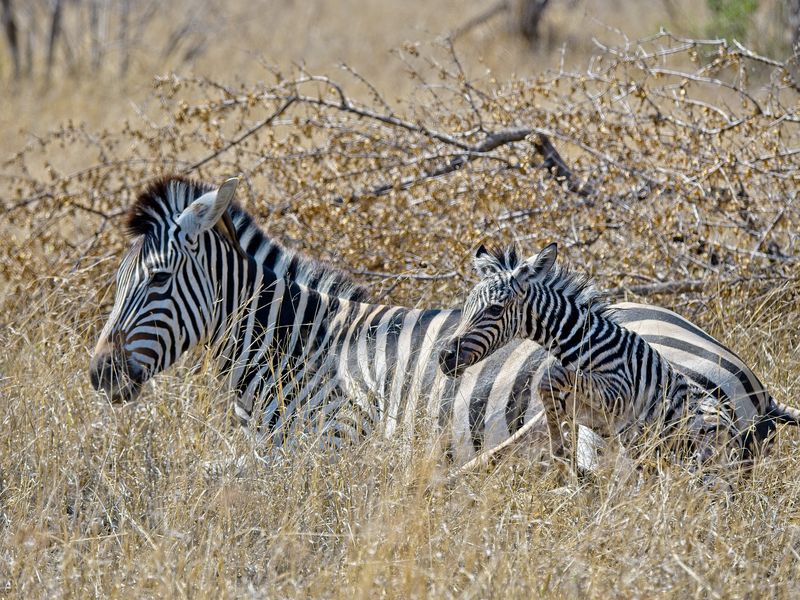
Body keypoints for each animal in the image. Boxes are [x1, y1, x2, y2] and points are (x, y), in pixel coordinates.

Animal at [439, 242, 800, 470]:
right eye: (467, 306)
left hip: (713, 456)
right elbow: (551, 390)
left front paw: (561, 451)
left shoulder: (618, 392)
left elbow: (553, 378)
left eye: (494, 310)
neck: (584, 342)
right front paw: (561, 450)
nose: (444, 356)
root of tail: (766, 399)